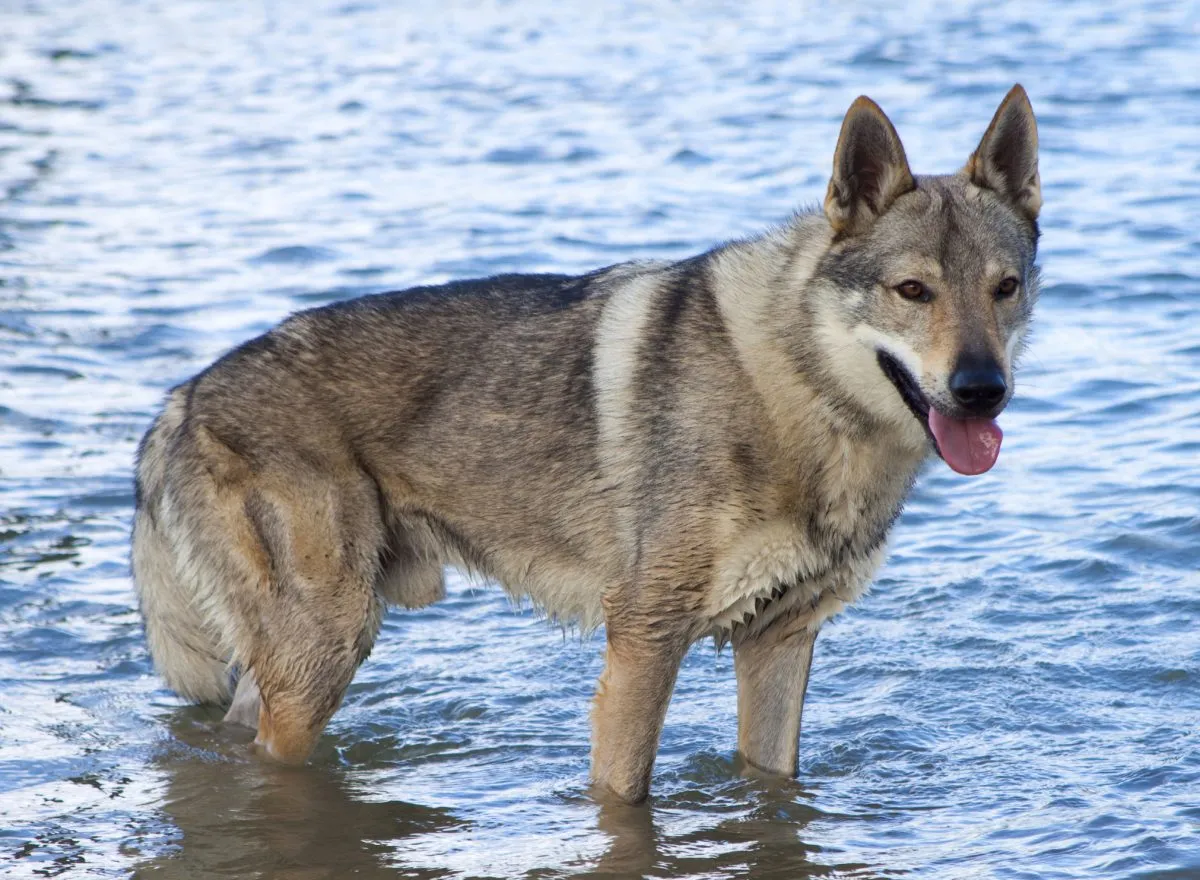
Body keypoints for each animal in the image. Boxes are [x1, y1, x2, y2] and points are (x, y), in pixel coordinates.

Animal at [129, 84, 1032, 801]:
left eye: (1006, 288)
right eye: (912, 291)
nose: (982, 390)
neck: (796, 396)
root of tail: (180, 399)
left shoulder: (779, 643)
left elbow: (770, 782)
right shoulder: (643, 641)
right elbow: (624, 795)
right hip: (328, 651)